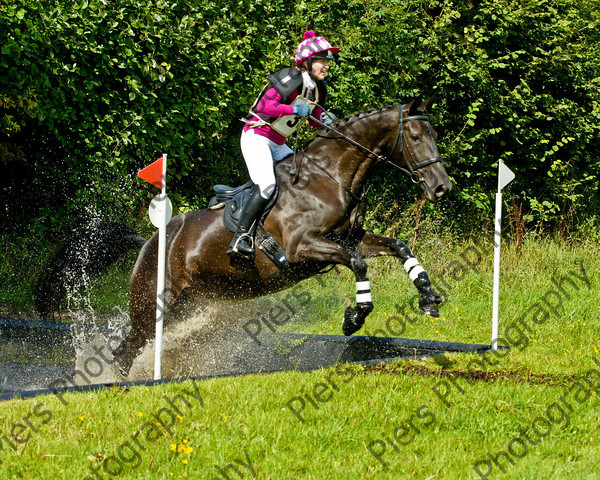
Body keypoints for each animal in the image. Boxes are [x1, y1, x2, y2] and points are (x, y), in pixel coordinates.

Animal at [35, 98, 452, 376]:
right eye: (416, 136)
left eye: (434, 133)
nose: (441, 187)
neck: (329, 177)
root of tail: (148, 242)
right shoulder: (303, 248)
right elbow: (359, 263)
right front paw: (354, 317)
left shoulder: (350, 237)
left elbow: (397, 246)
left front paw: (428, 297)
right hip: (152, 306)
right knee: (125, 351)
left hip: (190, 305)